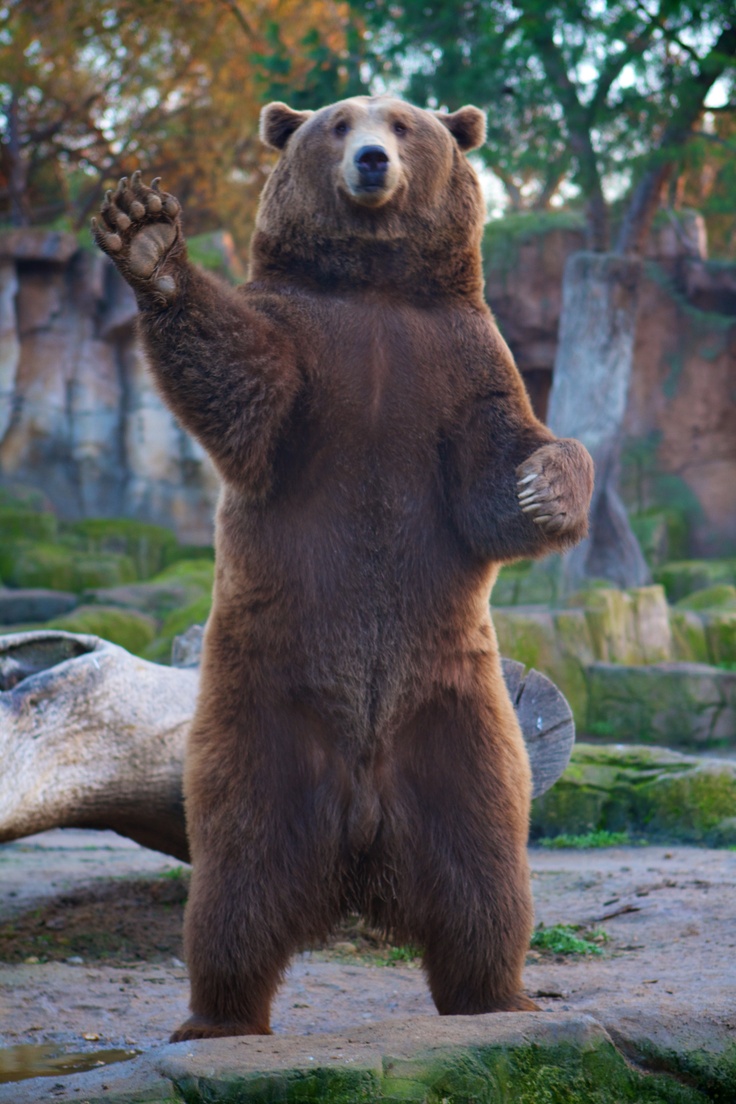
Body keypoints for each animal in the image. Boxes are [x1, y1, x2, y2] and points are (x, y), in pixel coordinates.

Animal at [94, 92, 595, 1033]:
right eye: (337, 124)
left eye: (403, 126)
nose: (370, 161)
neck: (375, 288)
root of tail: (361, 849)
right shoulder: (309, 345)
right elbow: (247, 394)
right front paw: (146, 233)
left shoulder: (459, 360)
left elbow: (494, 472)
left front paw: (548, 486)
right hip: (265, 708)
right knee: (239, 873)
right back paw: (219, 1013)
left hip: (456, 715)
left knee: (485, 864)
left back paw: (496, 996)